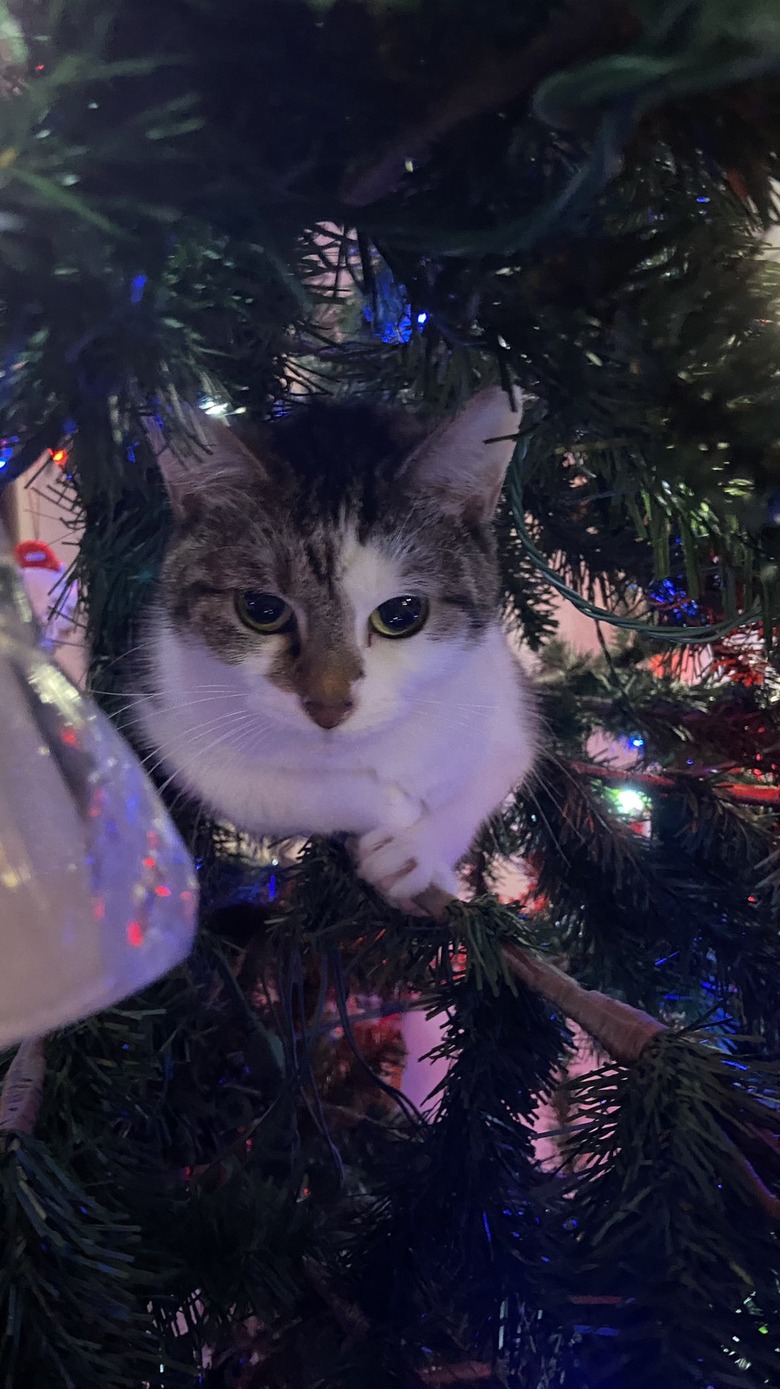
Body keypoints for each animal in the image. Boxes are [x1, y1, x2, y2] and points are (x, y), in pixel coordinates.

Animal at [131, 386, 532, 905]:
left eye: (401, 614)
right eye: (262, 609)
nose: (328, 705)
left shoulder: (501, 695)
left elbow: (490, 770)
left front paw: (417, 852)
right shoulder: (162, 710)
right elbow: (265, 790)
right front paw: (391, 809)